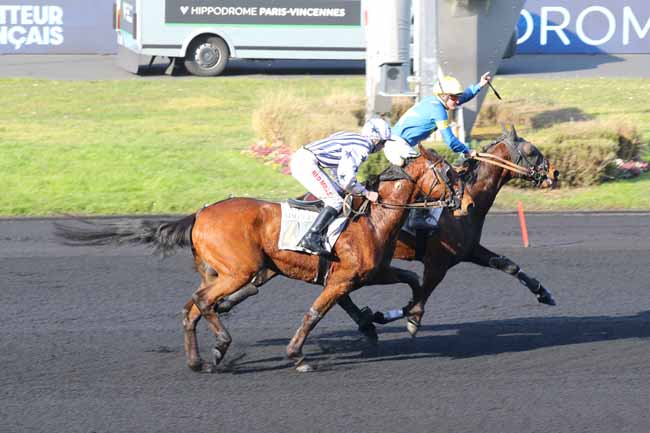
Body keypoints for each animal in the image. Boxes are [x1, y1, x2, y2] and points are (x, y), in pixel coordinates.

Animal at [54, 146, 460, 372]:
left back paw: (199, 360)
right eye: (448, 172)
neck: (373, 217)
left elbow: (411, 280)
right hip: (238, 270)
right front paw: (297, 356)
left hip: (218, 272)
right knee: (203, 302)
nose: (458, 200)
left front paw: (406, 318)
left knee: (191, 308)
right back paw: (220, 345)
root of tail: (200, 214)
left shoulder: (365, 273)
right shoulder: (343, 278)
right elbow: (314, 314)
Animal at [216, 126, 556, 340]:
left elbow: (508, 265)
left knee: (266, 278)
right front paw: (406, 320)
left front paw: (544, 293)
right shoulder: (438, 260)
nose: (553, 173)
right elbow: (422, 293)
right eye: (531, 150)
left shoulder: (469, 250)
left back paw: (224, 304)